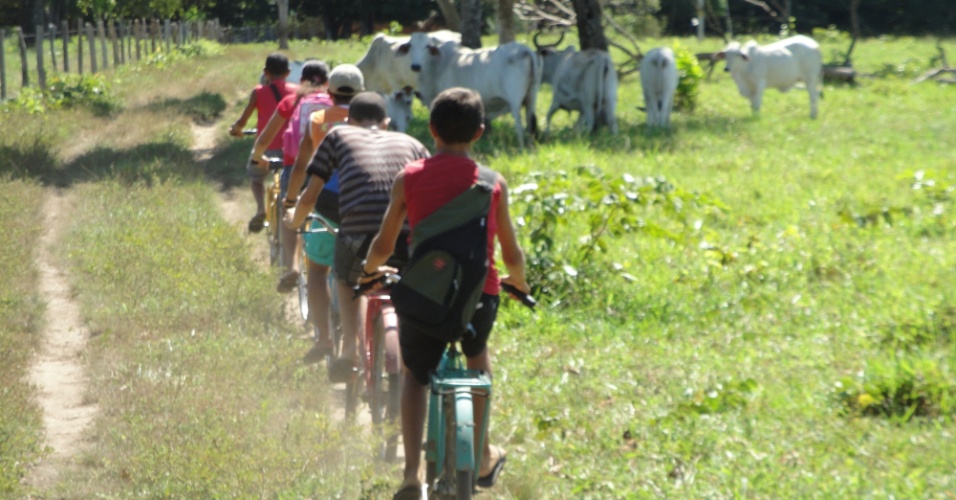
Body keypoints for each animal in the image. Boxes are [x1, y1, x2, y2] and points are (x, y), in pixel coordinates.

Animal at [406, 32, 540, 146]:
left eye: (427, 46)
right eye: (410, 46)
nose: (415, 66)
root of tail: (524, 49)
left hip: (515, 101)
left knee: (519, 125)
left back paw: (521, 147)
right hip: (531, 97)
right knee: (530, 123)